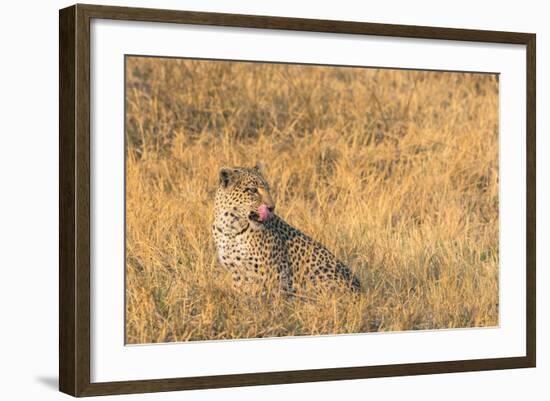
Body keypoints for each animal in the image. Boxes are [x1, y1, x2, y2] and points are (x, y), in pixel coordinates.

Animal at [211, 162, 362, 294]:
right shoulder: (237, 273)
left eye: (268, 188)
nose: (272, 207)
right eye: (252, 190)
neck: (231, 227)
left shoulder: (273, 273)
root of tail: (360, 289)